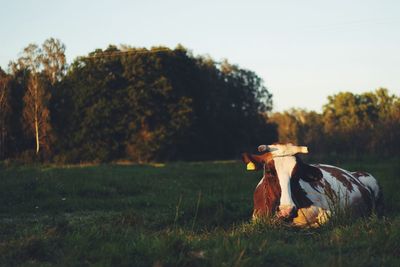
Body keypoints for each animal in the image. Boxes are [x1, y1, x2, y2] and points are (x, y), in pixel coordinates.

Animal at [242, 143, 382, 227]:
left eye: (297, 173)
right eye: (269, 172)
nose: (286, 210)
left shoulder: (328, 211)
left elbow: (324, 219)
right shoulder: (257, 217)